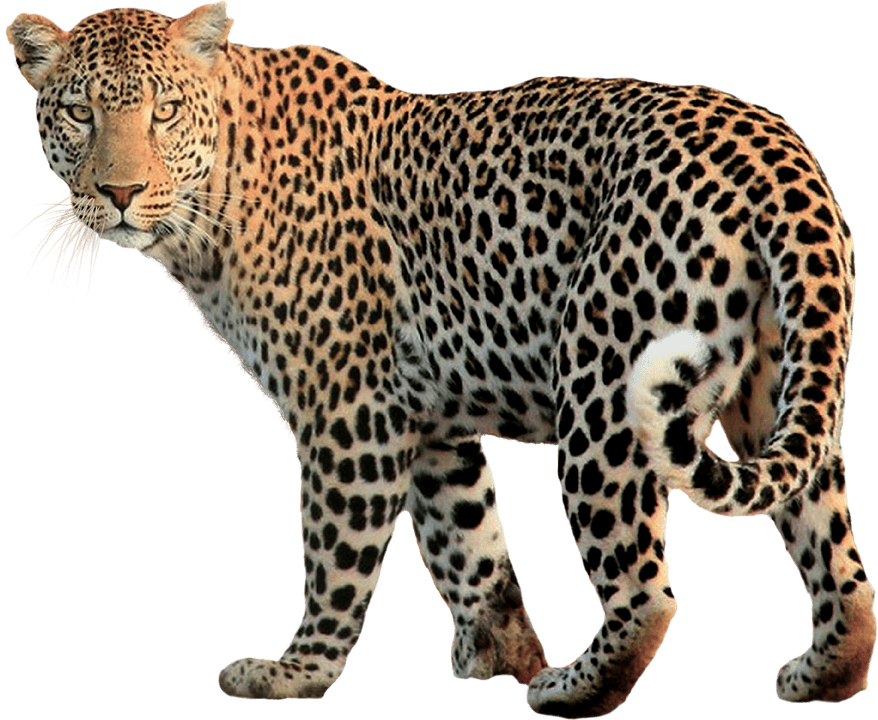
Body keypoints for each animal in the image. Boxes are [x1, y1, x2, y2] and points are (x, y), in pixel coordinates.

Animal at [6, 3, 875, 716]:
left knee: (647, 590)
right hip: (779, 384)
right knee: (840, 560)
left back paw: (572, 690)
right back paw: (821, 674)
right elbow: (471, 546)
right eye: (80, 113)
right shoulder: (428, 422)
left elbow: (336, 552)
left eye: (164, 111)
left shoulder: (348, 410)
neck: (212, 203)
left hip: (604, 385)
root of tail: (777, 154)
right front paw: (501, 655)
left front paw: (296, 673)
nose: (120, 194)